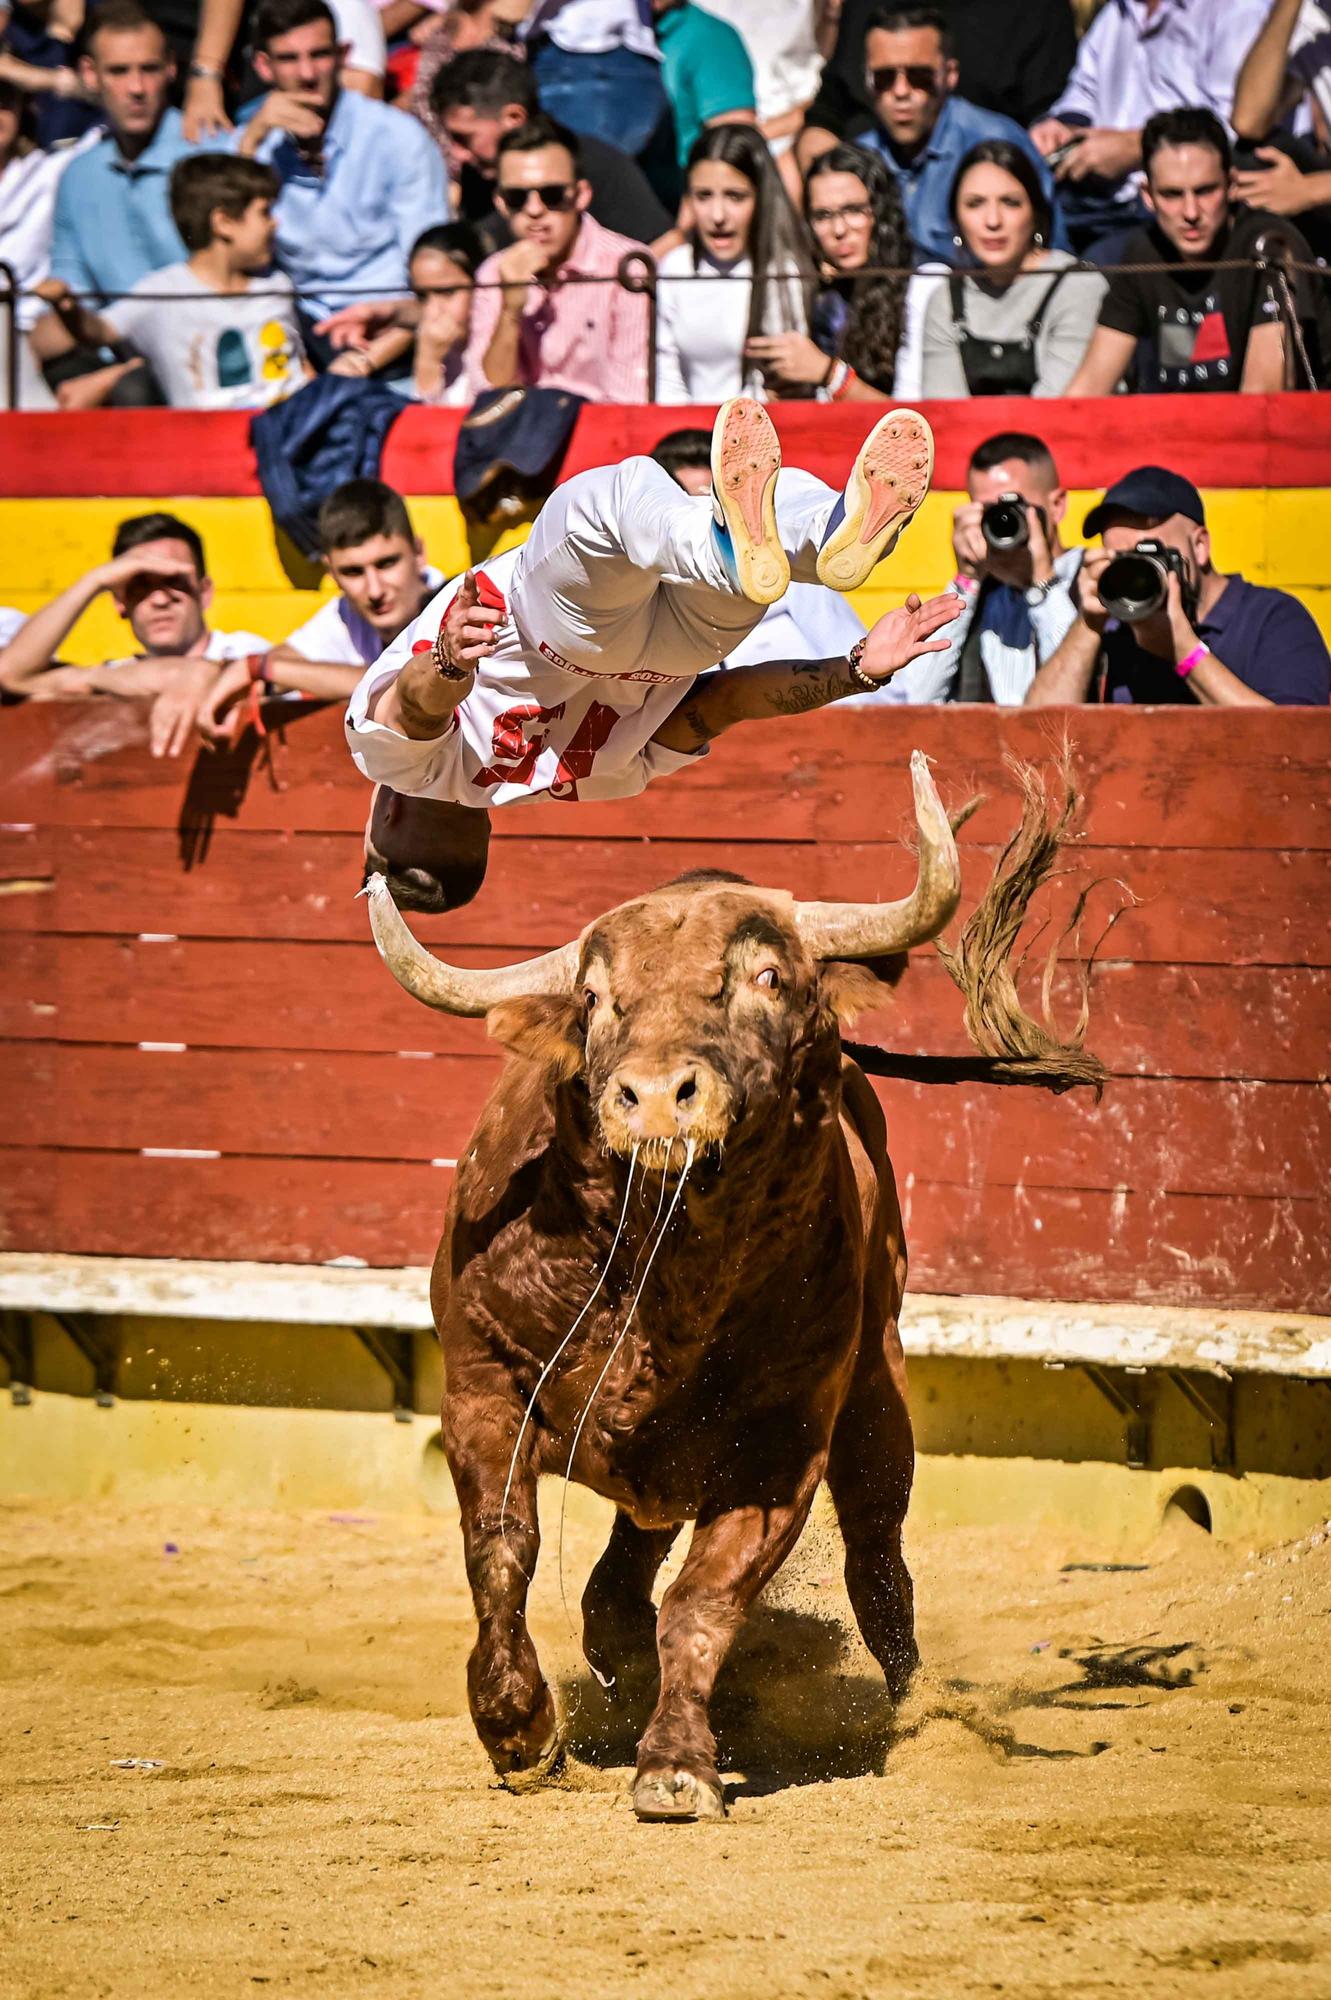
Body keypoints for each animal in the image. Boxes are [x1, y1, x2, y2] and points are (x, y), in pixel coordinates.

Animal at [365, 752, 1095, 1832]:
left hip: (875, 1395)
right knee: (623, 1564)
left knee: (876, 1564)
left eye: (767, 976)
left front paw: (674, 1765)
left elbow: (703, 1601)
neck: (657, 1277)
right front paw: (518, 1730)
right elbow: (501, 1549)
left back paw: (917, 1714)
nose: (656, 1096)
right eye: (594, 998)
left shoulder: (781, 1444)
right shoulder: (482, 1386)